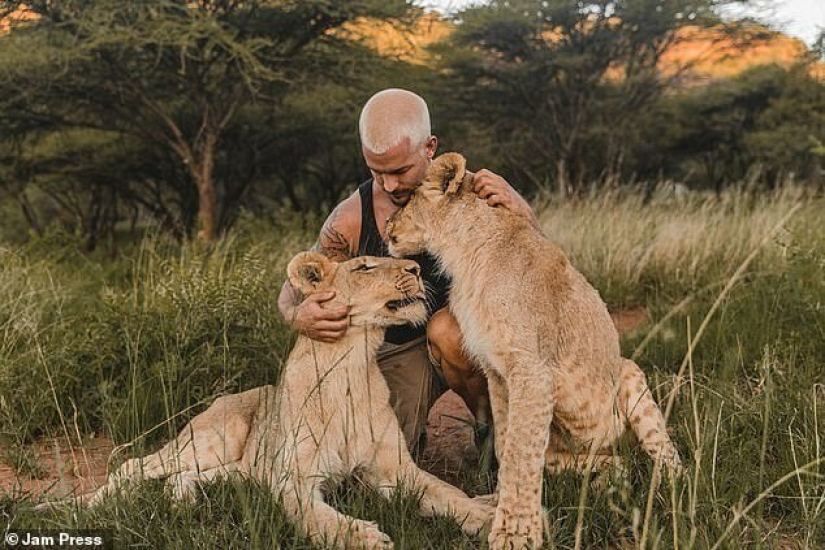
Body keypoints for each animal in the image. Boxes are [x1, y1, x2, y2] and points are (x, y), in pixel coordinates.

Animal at [54, 252, 494, 549]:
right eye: (364, 267)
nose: (417, 270)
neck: (353, 359)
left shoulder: (393, 468)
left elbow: (447, 492)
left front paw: (488, 516)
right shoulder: (293, 479)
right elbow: (315, 516)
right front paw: (361, 536)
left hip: (244, 469)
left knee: (185, 477)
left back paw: (183, 505)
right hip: (213, 440)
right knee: (132, 467)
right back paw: (85, 509)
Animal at [386, 153, 682, 549]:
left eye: (406, 201)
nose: (387, 225)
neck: (465, 256)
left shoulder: (533, 370)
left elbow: (520, 450)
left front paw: (515, 533)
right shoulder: (498, 372)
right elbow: (506, 443)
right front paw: (495, 502)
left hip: (630, 374)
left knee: (666, 456)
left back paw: (663, 491)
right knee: (616, 463)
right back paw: (606, 480)